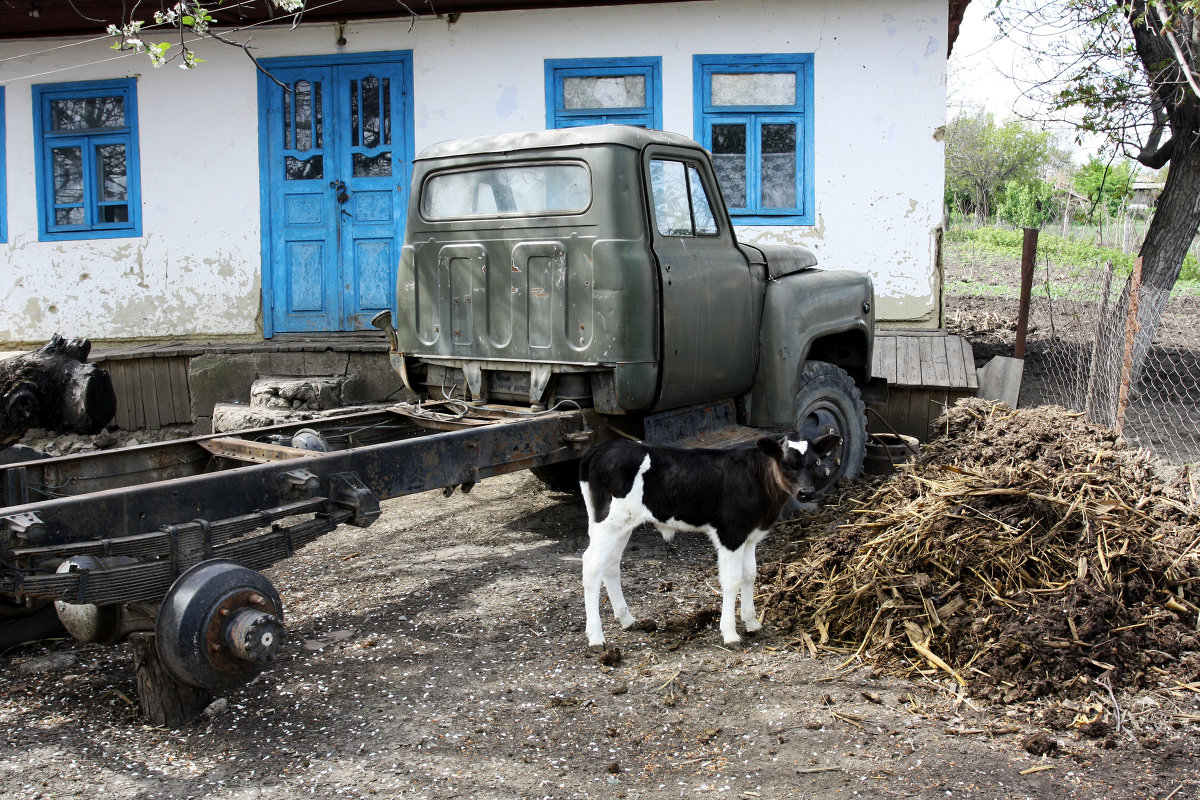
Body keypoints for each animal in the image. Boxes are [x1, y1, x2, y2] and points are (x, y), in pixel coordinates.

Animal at [580, 431, 844, 652]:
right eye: (785, 463)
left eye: (816, 462)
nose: (806, 493)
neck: (756, 480)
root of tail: (604, 447)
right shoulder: (730, 533)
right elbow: (732, 580)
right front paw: (730, 633)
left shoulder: (750, 536)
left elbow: (750, 574)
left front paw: (752, 622)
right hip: (610, 520)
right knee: (591, 566)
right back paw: (596, 638)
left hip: (621, 524)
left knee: (611, 564)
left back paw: (627, 620)